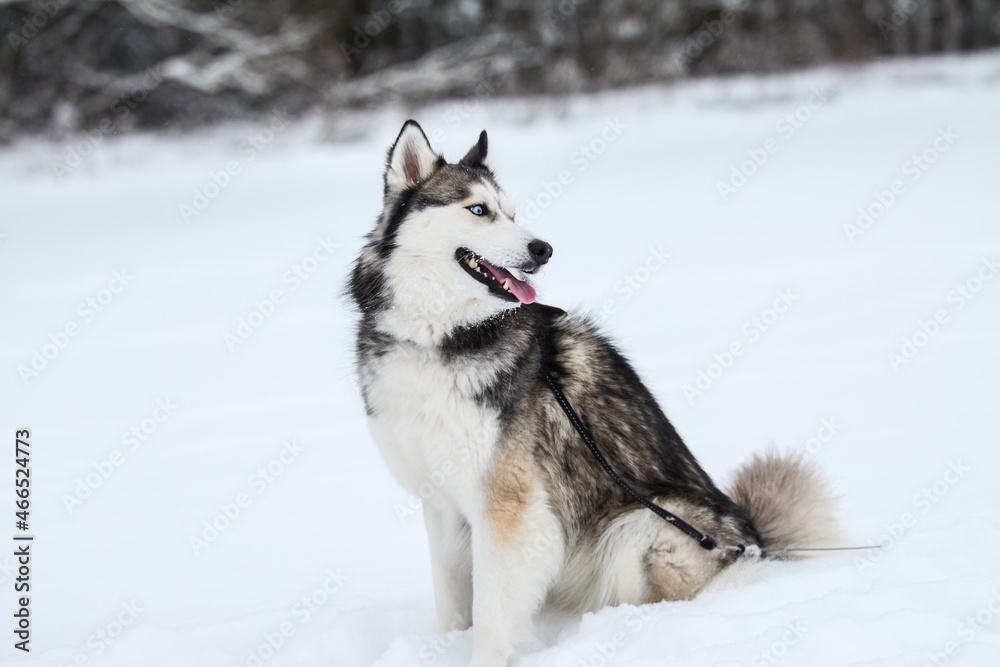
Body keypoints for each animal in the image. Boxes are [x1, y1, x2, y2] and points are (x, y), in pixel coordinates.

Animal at [350, 121, 836, 667]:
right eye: (478, 210)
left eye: (512, 212)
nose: (543, 248)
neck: (443, 339)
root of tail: (753, 541)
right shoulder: (440, 504)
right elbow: (453, 603)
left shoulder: (510, 509)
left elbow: (492, 618)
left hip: (640, 531)